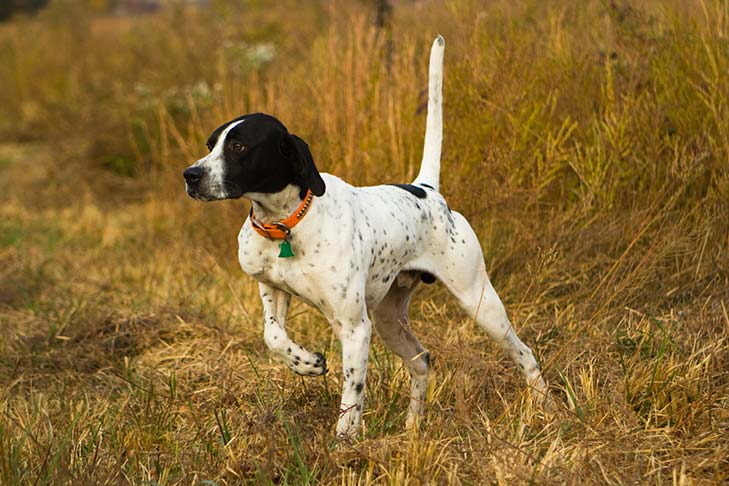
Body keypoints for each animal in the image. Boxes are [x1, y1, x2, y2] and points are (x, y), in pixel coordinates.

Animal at [182, 35, 544, 436]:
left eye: (239, 146)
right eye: (210, 144)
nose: (191, 175)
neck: (288, 224)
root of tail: (427, 189)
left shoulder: (355, 327)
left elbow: (351, 394)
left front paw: (344, 442)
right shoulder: (273, 289)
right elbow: (273, 335)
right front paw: (306, 363)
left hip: (478, 302)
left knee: (525, 354)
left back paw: (542, 409)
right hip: (389, 319)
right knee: (421, 360)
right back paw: (412, 428)